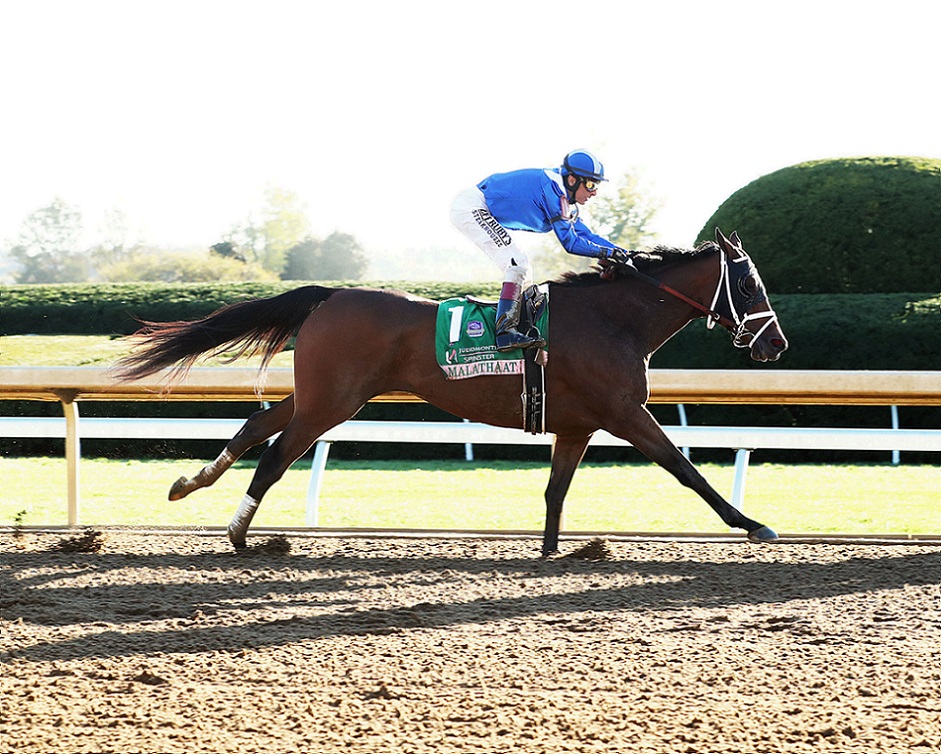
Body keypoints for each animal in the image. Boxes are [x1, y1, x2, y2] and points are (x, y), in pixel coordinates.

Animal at [114, 228, 788, 555]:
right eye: (749, 283)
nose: (776, 345)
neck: (614, 320)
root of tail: (331, 294)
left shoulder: (577, 425)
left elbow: (556, 491)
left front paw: (551, 553)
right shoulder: (625, 413)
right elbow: (686, 469)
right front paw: (753, 524)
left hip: (321, 394)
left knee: (258, 426)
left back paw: (190, 484)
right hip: (334, 401)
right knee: (278, 454)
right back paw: (238, 532)